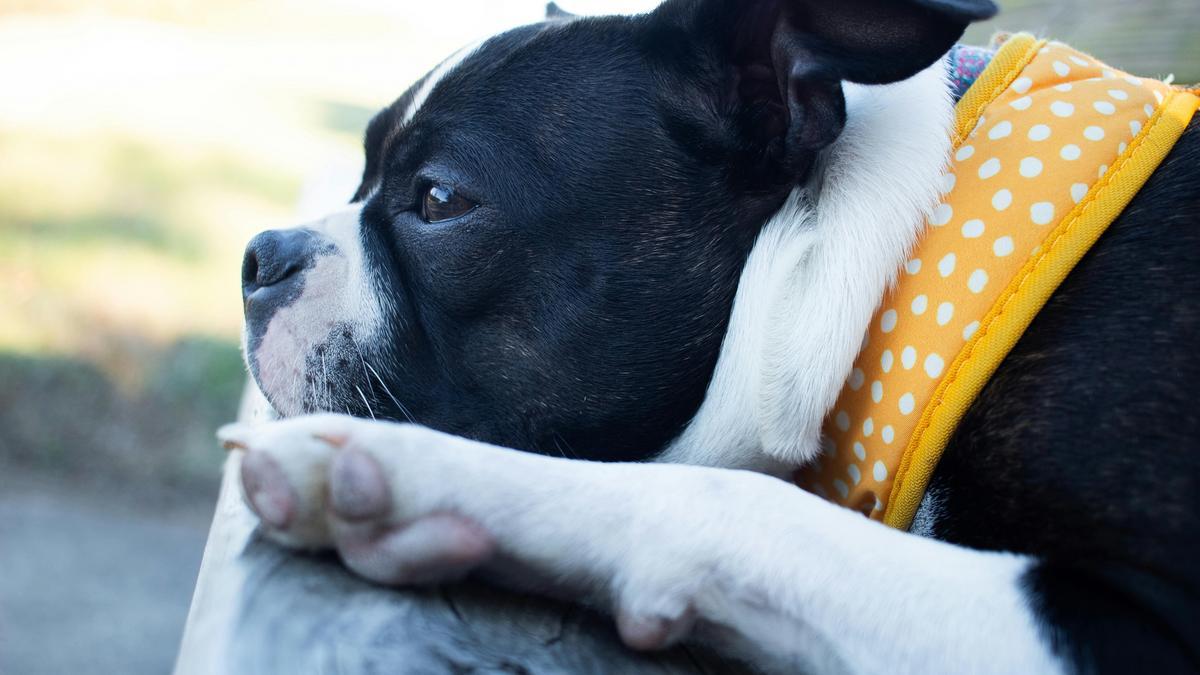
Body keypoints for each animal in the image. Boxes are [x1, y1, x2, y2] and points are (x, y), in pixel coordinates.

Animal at [218, 1, 1200, 667]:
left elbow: (738, 501)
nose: (261, 254)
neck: (907, 256)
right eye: (358, 176)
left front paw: (411, 478)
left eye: (439, 200)